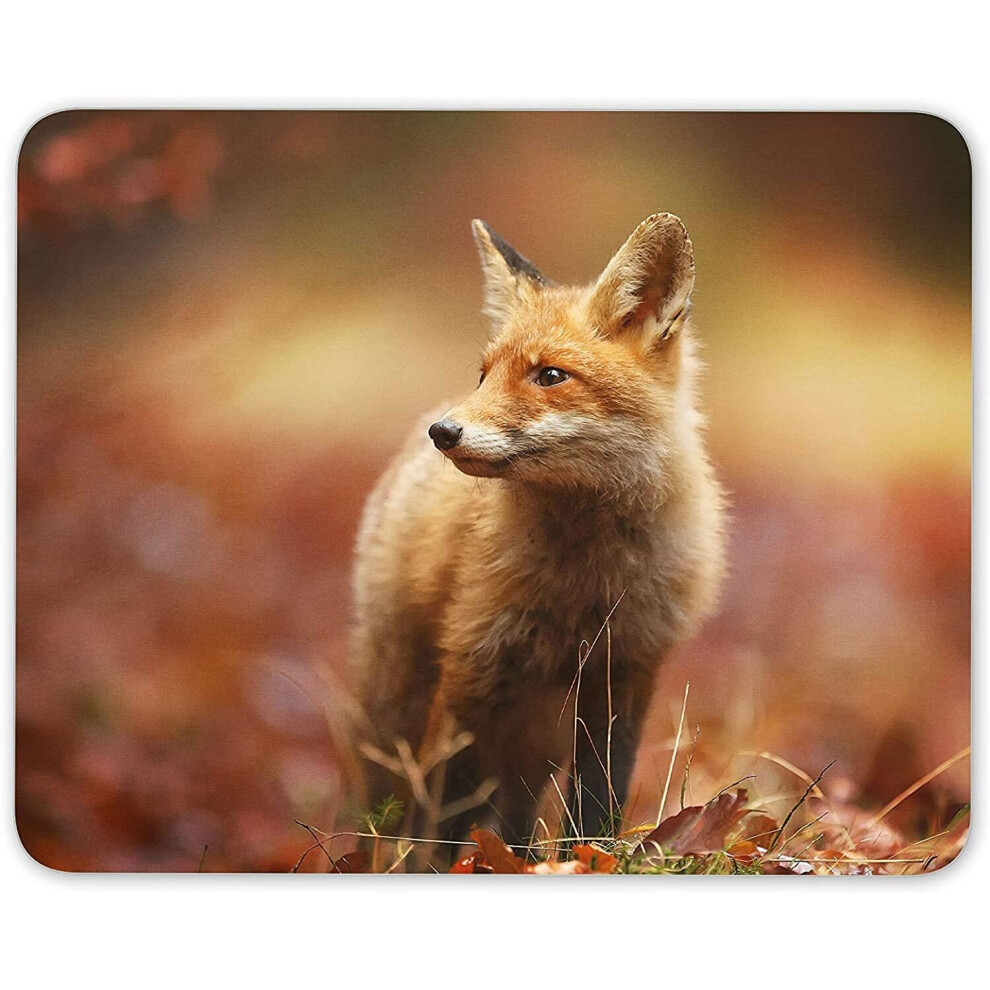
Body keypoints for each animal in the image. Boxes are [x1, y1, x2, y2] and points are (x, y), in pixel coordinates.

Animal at [351, 213, 726, 847]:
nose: (443, 431)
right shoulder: (472, 666)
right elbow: (444, 811)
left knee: (517, 814)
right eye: (484, 375)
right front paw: (437, 861)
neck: (583, 582)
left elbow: (599, 799)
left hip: (538, 741)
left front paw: (589, 856)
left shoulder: (624, 673)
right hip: (407, 703)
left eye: (550, 376)